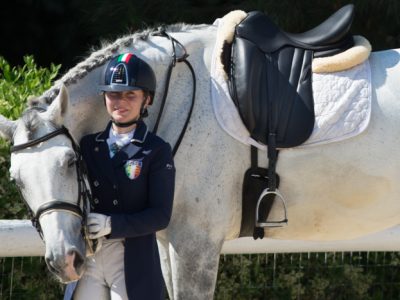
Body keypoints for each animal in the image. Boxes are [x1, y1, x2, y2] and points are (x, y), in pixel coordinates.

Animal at [0, 18, 400, 298]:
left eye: (70, 162)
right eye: (16, 180)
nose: (64, 261)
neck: (173, 97)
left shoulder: (195, 245)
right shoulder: (168, 242)